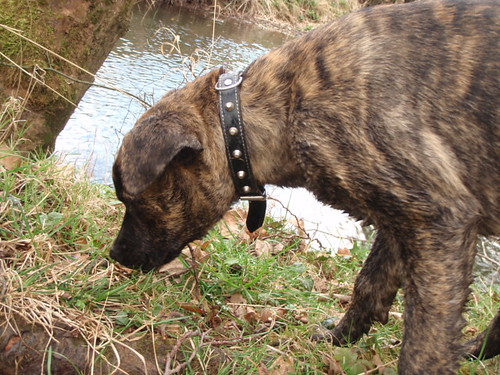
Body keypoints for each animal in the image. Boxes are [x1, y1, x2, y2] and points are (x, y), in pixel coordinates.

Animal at [111, 1, 498, 374]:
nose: (114, 254)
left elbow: (425, 345)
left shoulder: (437, 222)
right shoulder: (398, 221)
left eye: (132, 200)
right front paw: (338, 339)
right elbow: (369, 286)